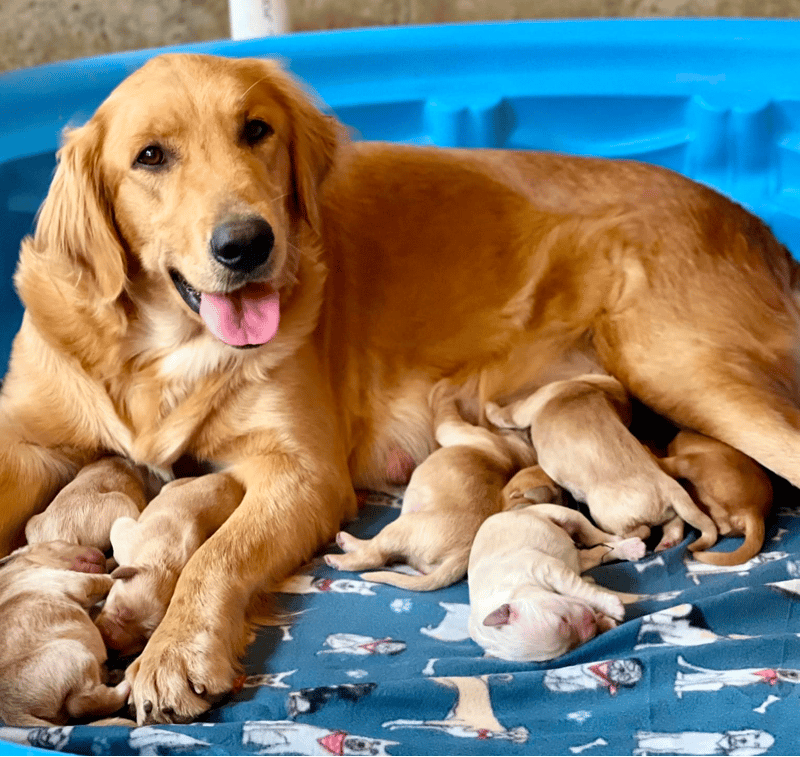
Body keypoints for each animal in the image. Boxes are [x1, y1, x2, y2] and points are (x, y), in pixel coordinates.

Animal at [324, 384, 536, 592]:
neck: (520, 450)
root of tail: (462, 554)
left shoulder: (452, 427)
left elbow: (445, 411)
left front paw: (443, 390)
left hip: (401, 527)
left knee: (374, 556)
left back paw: (339, 556)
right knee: (381, 553)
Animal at [468, 502, 644, 660]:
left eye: (563, 620)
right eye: (569, 648)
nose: (592, 623)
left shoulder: (549, 569)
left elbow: (579, 590)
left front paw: (611, 606)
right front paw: (604, 621)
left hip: (561, 513)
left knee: (596, 535)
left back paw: (629, 544)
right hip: (578, 557)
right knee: (597, 553)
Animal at [488, 376, 720, 552]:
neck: (589, 388)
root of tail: (670, 488)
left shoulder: (528, 405)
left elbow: (505, 413)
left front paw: (490, 407)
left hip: (606, 515)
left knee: (641, 531)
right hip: (670, 510)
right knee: (675, 523)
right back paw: (667, 542)